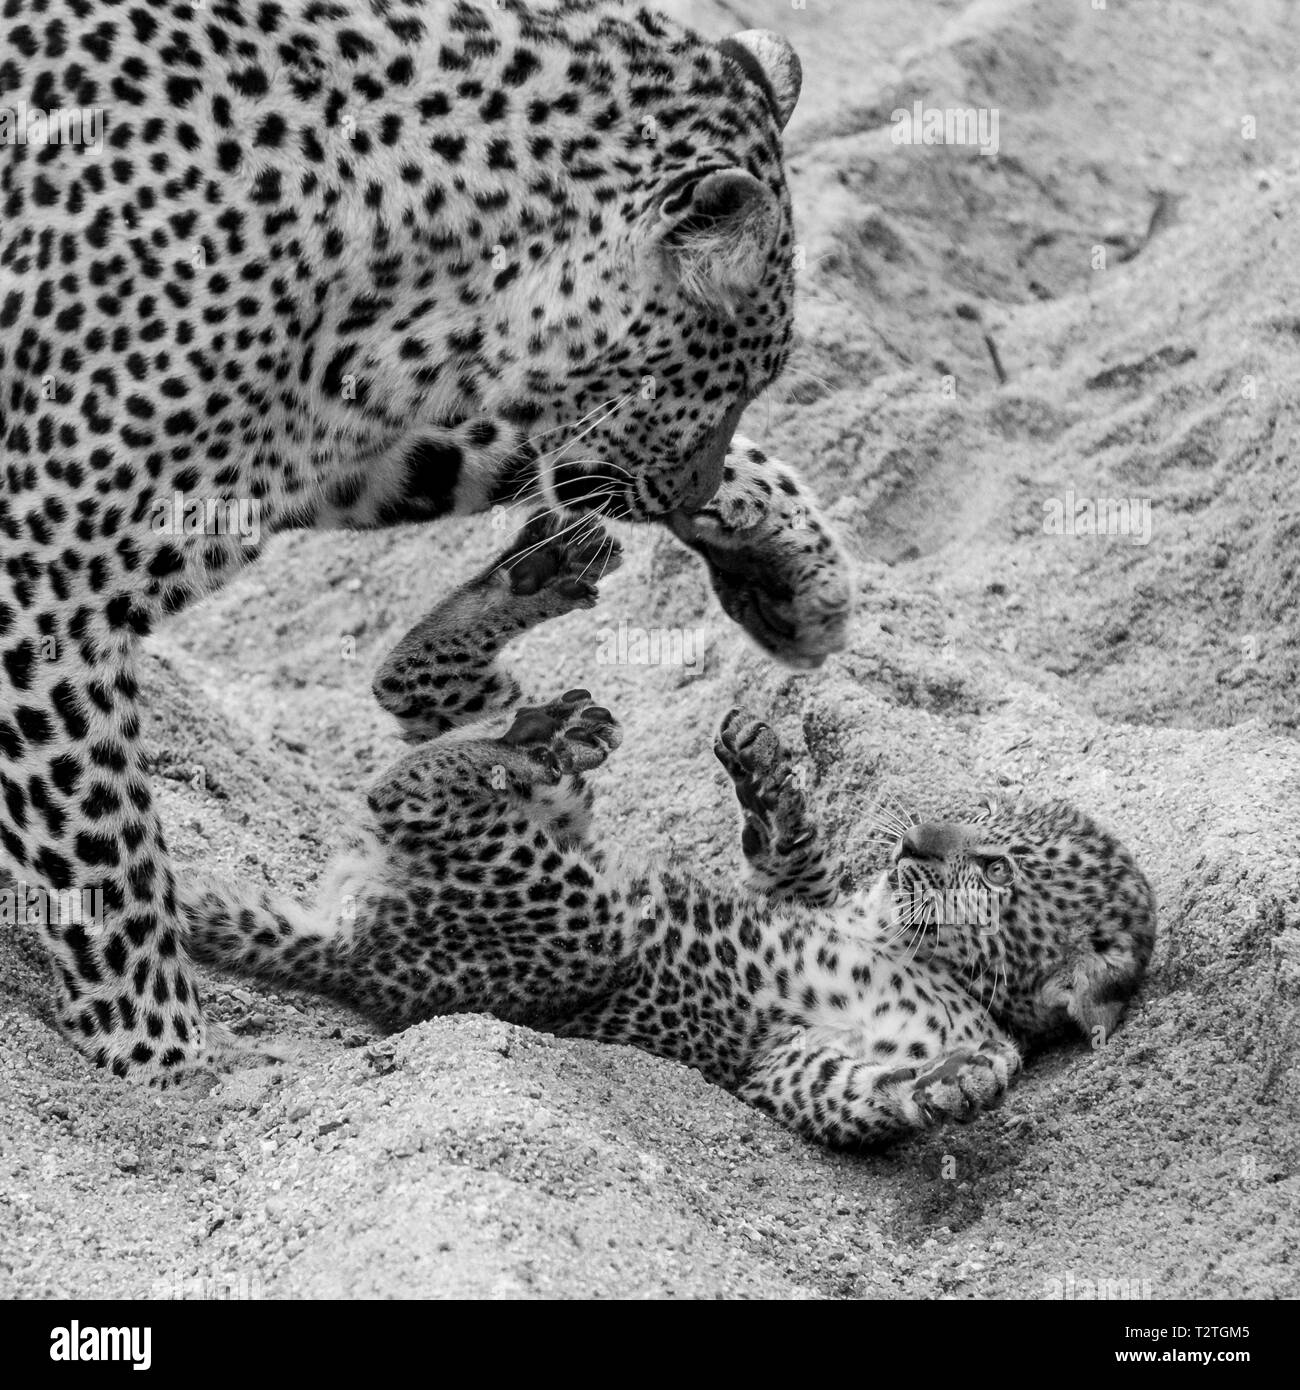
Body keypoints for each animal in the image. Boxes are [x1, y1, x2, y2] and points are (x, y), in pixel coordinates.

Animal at [0, 0, 806, 1078]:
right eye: (731, 374)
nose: (692, 493)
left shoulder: (327, 433)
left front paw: (786, 550)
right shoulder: (46, 580)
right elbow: (104, 850)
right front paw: (166, 1065)